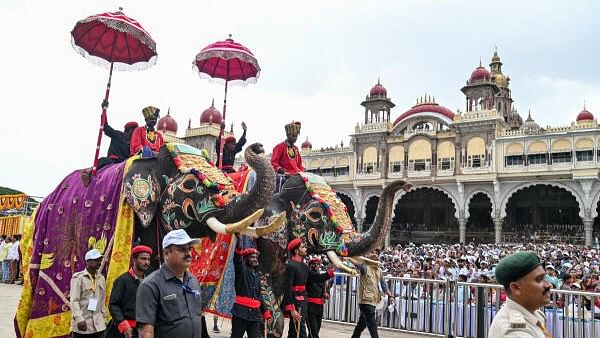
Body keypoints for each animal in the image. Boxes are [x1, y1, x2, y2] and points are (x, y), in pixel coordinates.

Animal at [253, 173, 412, 336]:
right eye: (315, 215)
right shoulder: (269, 233)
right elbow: (263, 279)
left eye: (345, 209)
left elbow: (281, 287)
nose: (407, 185)